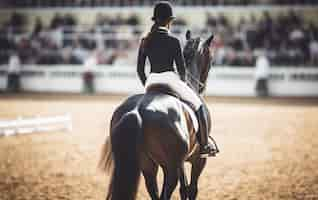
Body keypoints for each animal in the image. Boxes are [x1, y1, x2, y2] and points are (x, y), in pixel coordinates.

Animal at [98, 31, 215, 200]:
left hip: (147, 164)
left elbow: (184, 189)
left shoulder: (180, 162)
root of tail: (137, 111)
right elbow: (192, 189)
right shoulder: (198, 160)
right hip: (168, 166)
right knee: (167, 190)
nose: (202, 87)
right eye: (211, 59)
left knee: (153, 188)